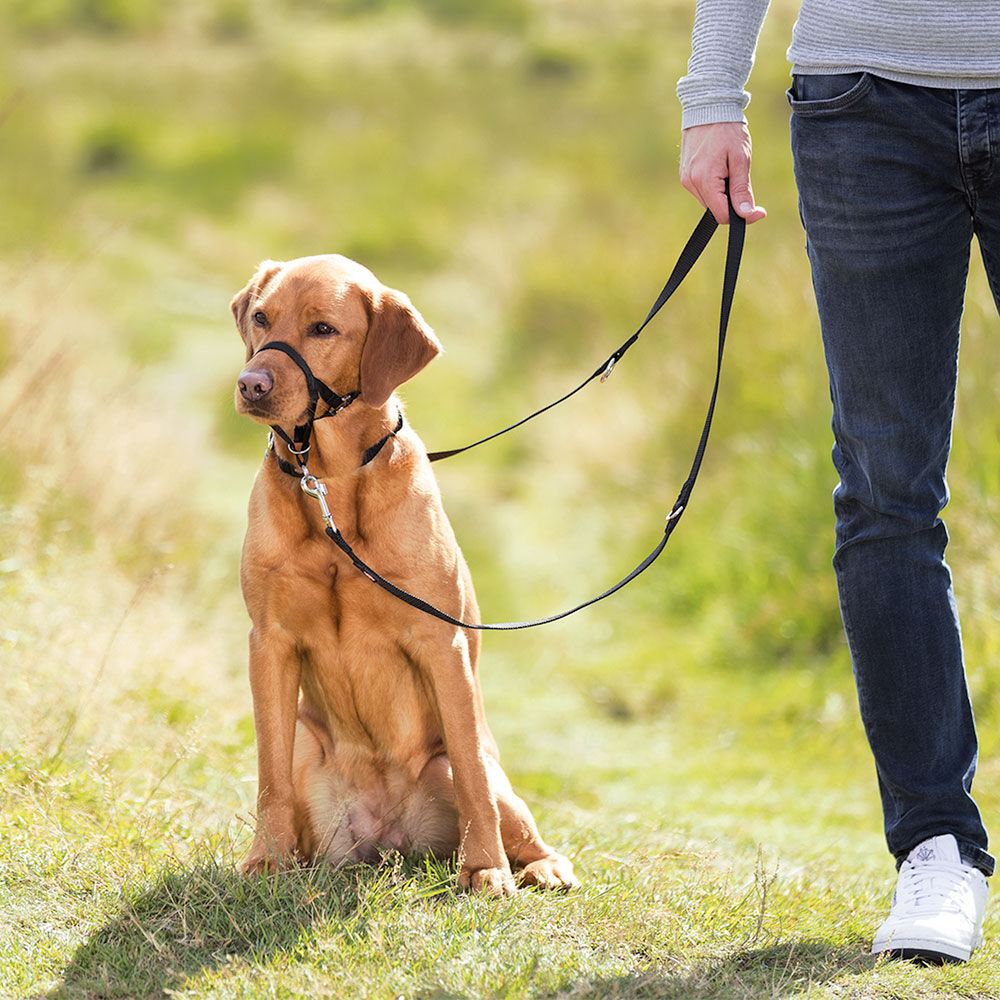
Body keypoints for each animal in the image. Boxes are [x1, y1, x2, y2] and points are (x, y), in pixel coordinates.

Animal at [230, 254, 580, 896]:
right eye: (262, 318)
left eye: (322, 329)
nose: (251, 384)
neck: (330, 482)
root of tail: (391, 839)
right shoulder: (269, 643)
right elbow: (269, 776)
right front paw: (264, 861)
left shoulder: (440, 643)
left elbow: (470, 776)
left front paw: (486, 870)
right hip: (308, 747)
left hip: (482, 773)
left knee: (506, 808)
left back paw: (539, 865)